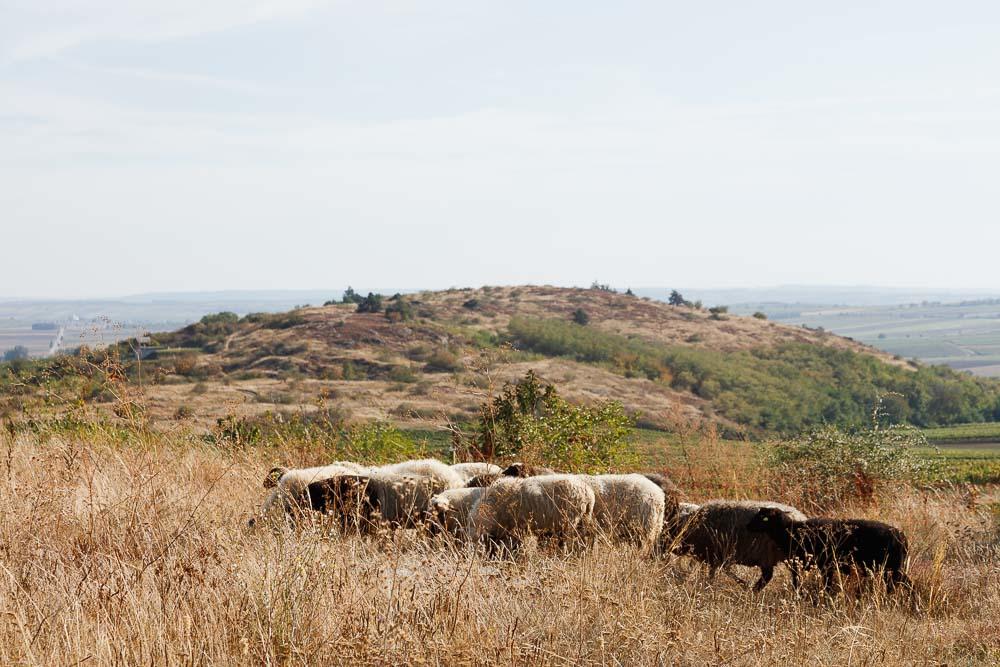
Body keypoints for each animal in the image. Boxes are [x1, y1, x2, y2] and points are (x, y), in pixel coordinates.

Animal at [664, 500, 812, 588]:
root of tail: (800, 517)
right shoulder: (718, 557)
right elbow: (719, 571)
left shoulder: (717, 554)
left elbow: (719, 572)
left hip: (777, 556)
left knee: (775, 576)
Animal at [748, 506, 912, 596]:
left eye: (764, 518)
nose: (748, 525)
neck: (791, 531)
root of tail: (902, 537)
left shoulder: (820, 566)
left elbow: (814, 586)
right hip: (892, 569)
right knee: (908, 585)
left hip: (892, 568)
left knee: (901, 586)